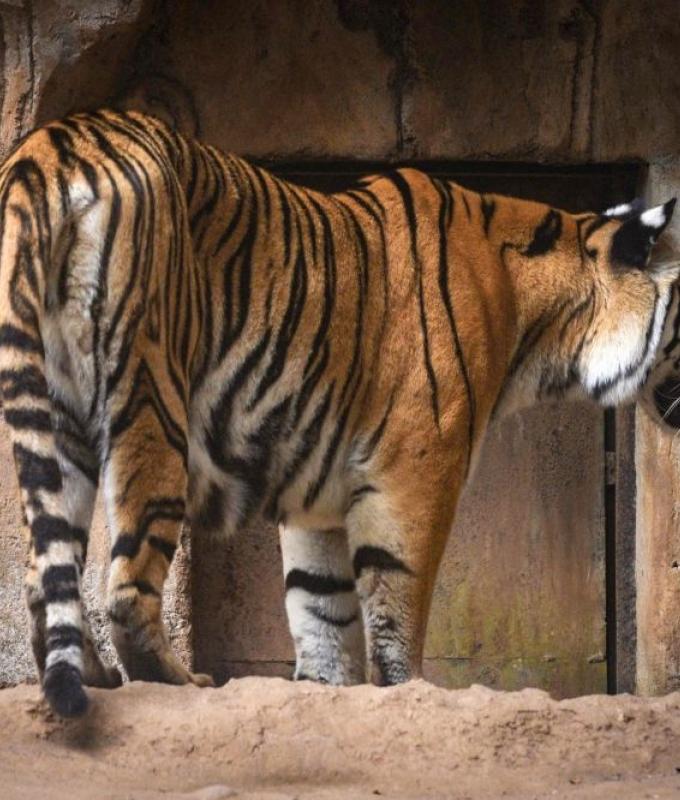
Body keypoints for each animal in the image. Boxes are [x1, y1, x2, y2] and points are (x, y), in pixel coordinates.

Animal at [0, 109, 677, 718]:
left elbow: (321, 608)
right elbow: (398, 603)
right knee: (125, 590)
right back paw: (176, 681)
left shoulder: (317, 492)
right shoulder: (417, 471)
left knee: (44, 572)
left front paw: (324, 692)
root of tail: (49, 148)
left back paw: (92, 674)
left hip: (54, 417)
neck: (540, 323)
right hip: (150, 394)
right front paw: (407, 692)